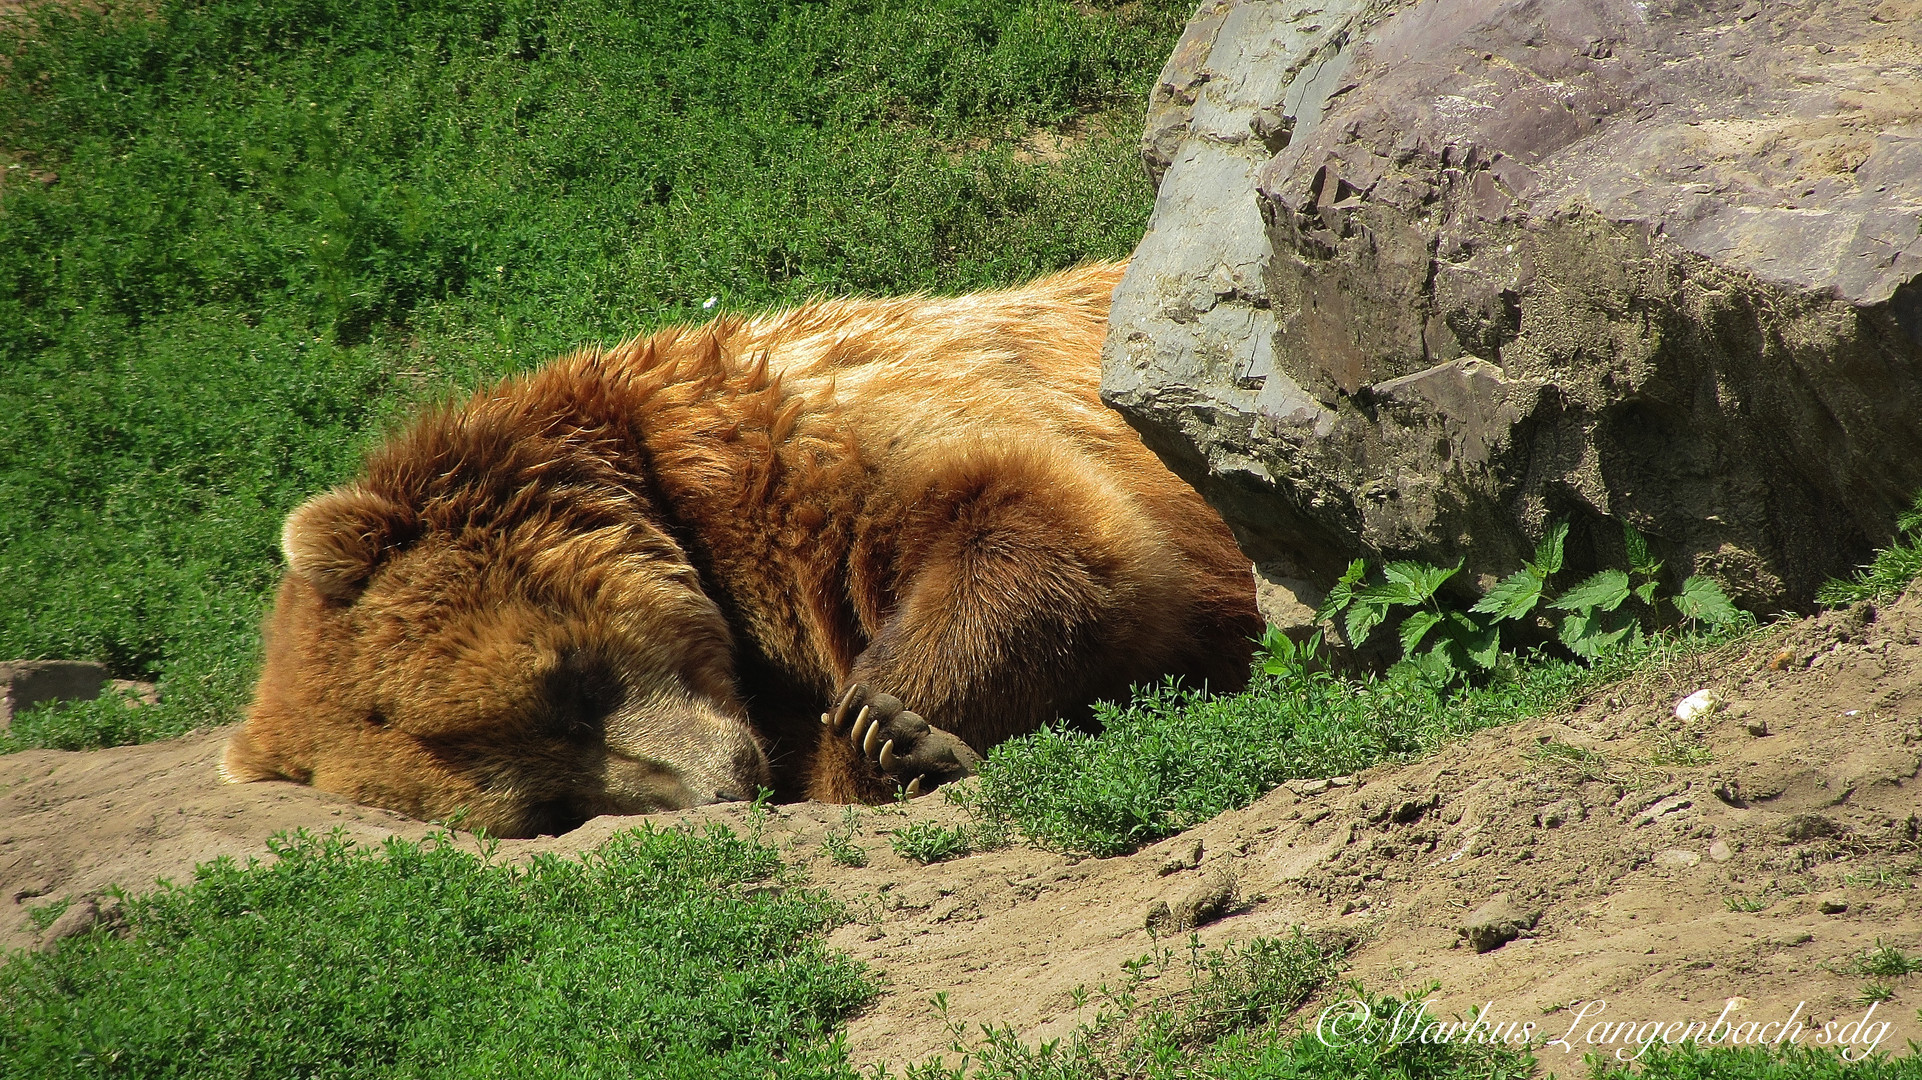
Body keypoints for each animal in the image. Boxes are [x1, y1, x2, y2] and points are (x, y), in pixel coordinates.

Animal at [221, 261, 1260, 834]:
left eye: (572, 685)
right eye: (554, 808)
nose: (722, 784)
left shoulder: (800, 443)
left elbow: (1037, 523)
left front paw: (889, 730)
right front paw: (892, 747)